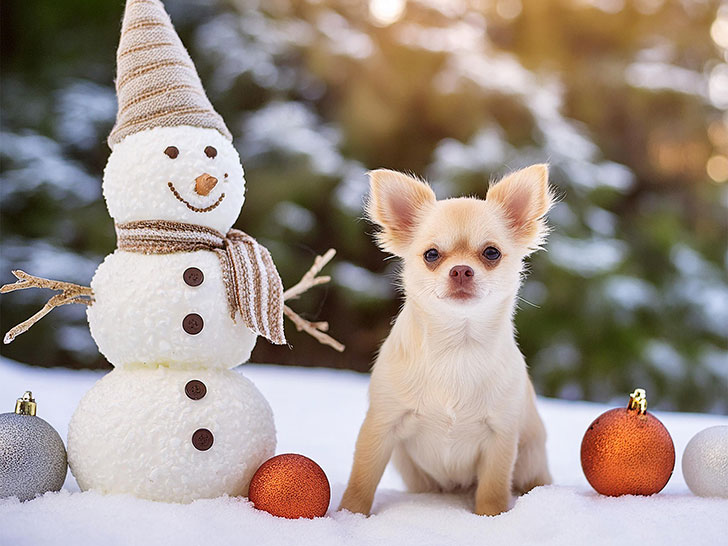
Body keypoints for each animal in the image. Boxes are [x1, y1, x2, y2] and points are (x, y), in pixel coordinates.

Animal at [340, 164, 552, 512]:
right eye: (431, 255)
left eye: (491, 253)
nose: (461, 270)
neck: (457, 344)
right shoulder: (380, 426)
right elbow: (362, 479)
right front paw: (349, 514)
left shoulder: (501, 437)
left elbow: (493, 488)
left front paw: (492, 516)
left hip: (531, 461)